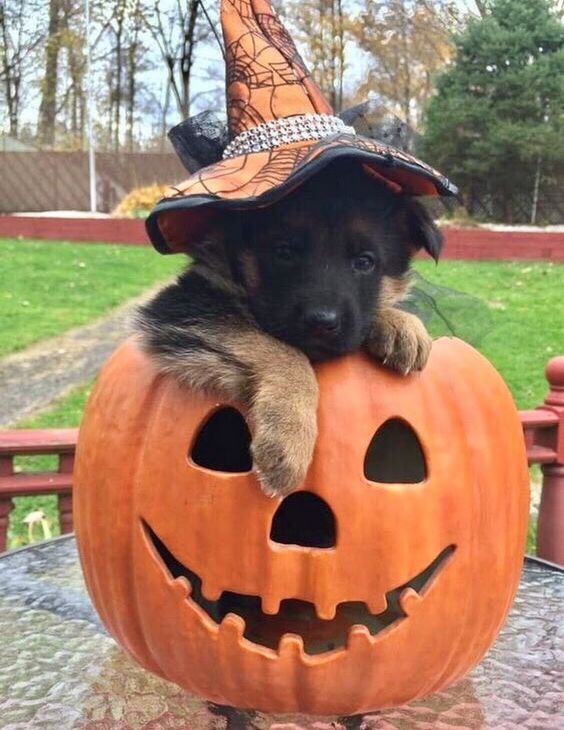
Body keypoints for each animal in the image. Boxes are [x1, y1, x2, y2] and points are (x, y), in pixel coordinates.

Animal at [135, 161, 440, 494]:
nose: (322, 322)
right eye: (284, 252)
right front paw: (289, 438)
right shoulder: (183, 306)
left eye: (364, 262)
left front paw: (400, 324)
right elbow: (283, 352)